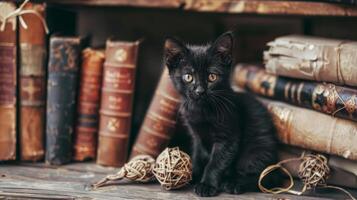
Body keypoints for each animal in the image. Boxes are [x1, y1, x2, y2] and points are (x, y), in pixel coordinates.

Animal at [164, 32, 278, 196]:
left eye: (212, 77)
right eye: (188, 77)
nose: (200, 91)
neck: (202, 110)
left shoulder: (228, 137)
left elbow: (215, 162)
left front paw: (206, 185)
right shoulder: (197, 136)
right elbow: (198, 156)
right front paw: (192, 174)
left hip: (257, 150)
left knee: (264, 178)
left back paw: (233, 183)